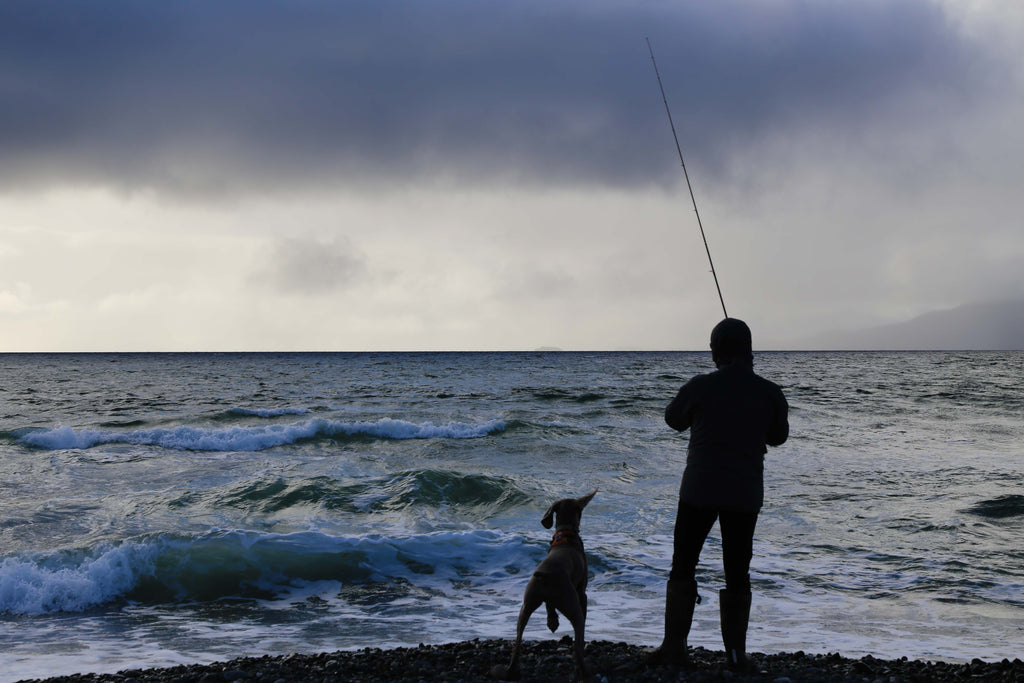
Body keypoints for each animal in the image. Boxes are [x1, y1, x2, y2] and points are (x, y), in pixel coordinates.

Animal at [489, 489, 598, 679]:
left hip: (526, 606)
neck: (566, 533)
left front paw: (552, 621)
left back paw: (512, 669)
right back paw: (584, 671)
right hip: (572, 605)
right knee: (578, 641)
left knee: (517, 644)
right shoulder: (581, 591)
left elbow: (549, 606)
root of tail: (545, 574)